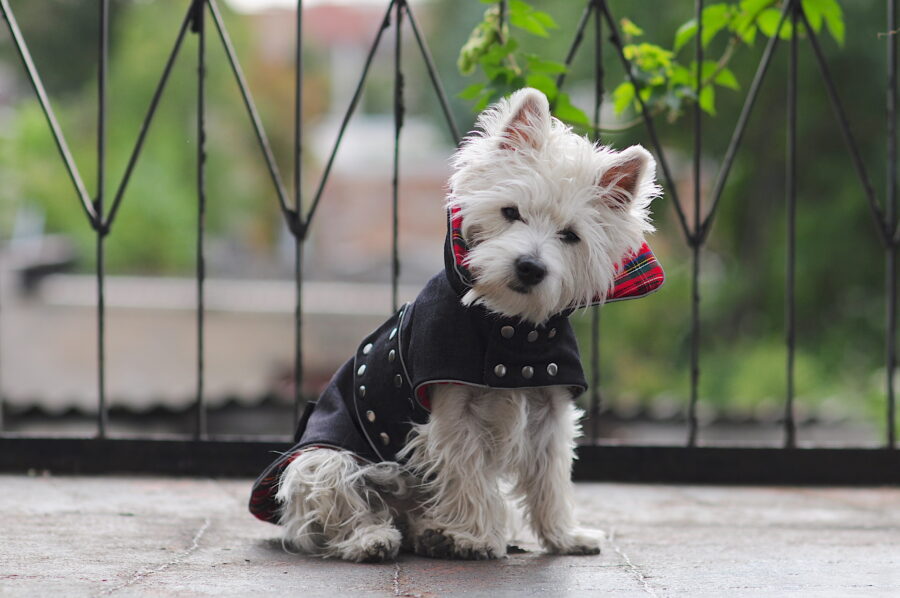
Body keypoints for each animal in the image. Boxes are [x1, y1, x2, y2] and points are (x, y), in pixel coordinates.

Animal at [246, 88, 660, 564]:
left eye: (571, 235)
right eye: (510, 212)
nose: (530, 266)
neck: (509, 329)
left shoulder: (549, 410)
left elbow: (550, 478)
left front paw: (564, 536)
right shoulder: (453, 409)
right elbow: (467, 474)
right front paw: (474, 537)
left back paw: (429, 534)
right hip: (323, 459)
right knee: (337, 505)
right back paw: (373, 539)